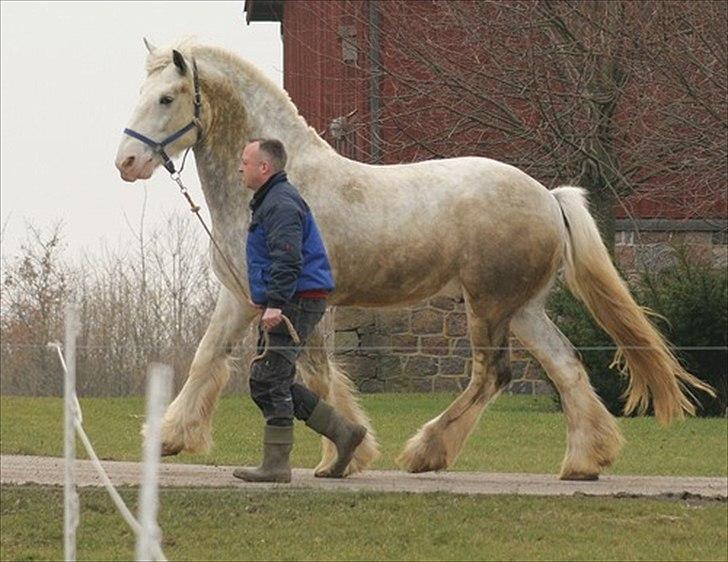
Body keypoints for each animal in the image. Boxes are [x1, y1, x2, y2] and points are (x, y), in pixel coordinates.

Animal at [114, 40, 712, 476]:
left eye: (167, 97)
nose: (126, 162)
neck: (282, 184)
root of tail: (548, 197)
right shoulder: (242, 296)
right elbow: (208, 357)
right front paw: (168, 438)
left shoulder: (302, 302)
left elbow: (316, 375)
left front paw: (344, 456)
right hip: (523, 308)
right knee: (565, 366)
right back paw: (586, 461)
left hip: (487, 306)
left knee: (491, 374)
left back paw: (428, 451)